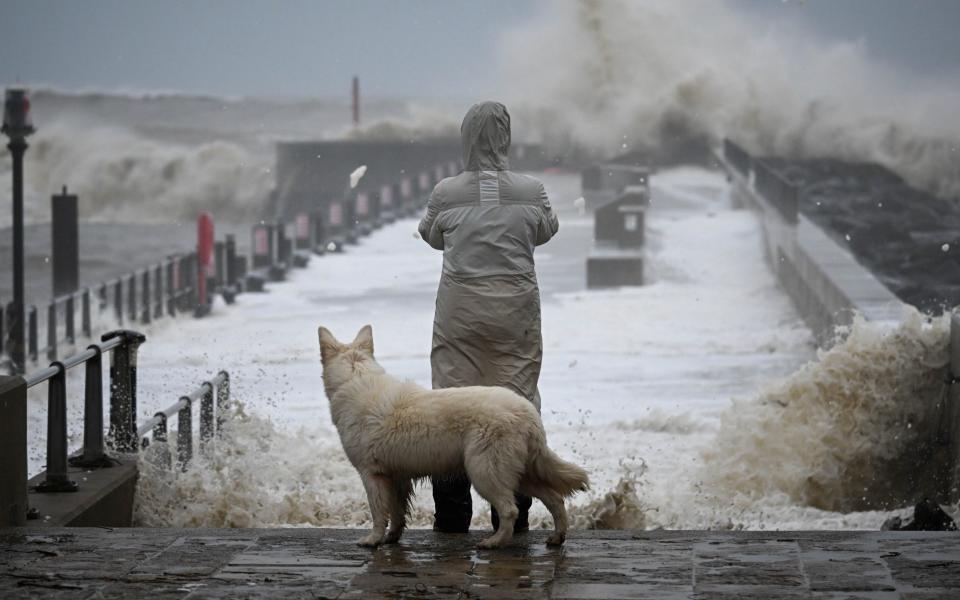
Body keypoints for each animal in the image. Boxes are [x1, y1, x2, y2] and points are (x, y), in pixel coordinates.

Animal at [318, 326, 588, 552]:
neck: (356, 376)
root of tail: (527, 412)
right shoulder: (397, 477)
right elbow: (397, 512)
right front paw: (391, 537)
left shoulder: (371, 474)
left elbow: (378, 513)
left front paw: (373, 540)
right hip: (520, 474)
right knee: (555, 499)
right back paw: (557, 537)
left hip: (484, 472)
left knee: (510, 509)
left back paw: (494, 542)